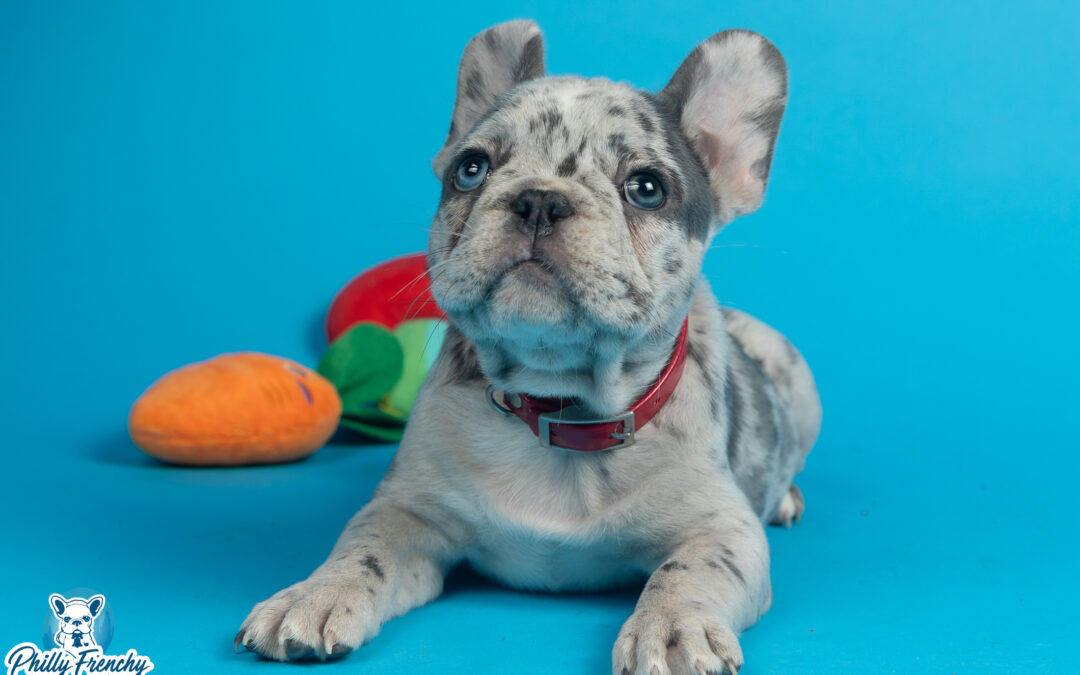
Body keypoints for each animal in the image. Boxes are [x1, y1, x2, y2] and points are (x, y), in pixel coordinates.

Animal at [234, 21, 816, 673]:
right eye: (470, 169)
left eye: (647, 189)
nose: (540, 199)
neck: (560, 406)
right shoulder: (408, 508)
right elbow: (363, 547)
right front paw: (314, 594)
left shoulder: (722, 528)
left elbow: (690, 570)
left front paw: (673, 627)